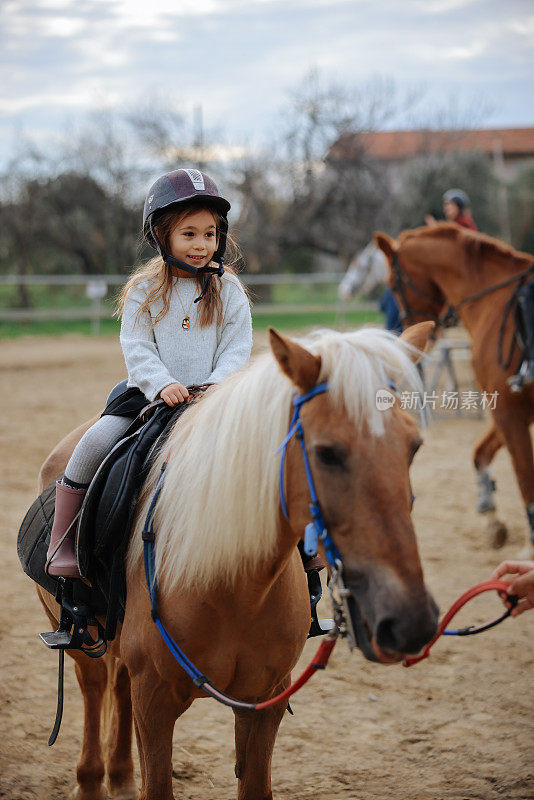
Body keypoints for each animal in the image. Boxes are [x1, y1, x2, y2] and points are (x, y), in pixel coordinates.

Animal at [36, 324, 440, 800]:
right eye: (327, 453)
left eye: (414, 447)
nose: (410, 621)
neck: (233, 586)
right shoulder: (155, 703)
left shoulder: (264, 701)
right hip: (79, 636)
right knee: (95, 686)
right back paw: (91, 780)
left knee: (117, 686)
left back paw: (119, 777)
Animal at [376, 219, 534, 556]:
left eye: (393, 284)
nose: (406, 327)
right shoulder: (514, 409)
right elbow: (480, 453)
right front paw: (491, 516)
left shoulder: (510, 411)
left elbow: (525, 478)